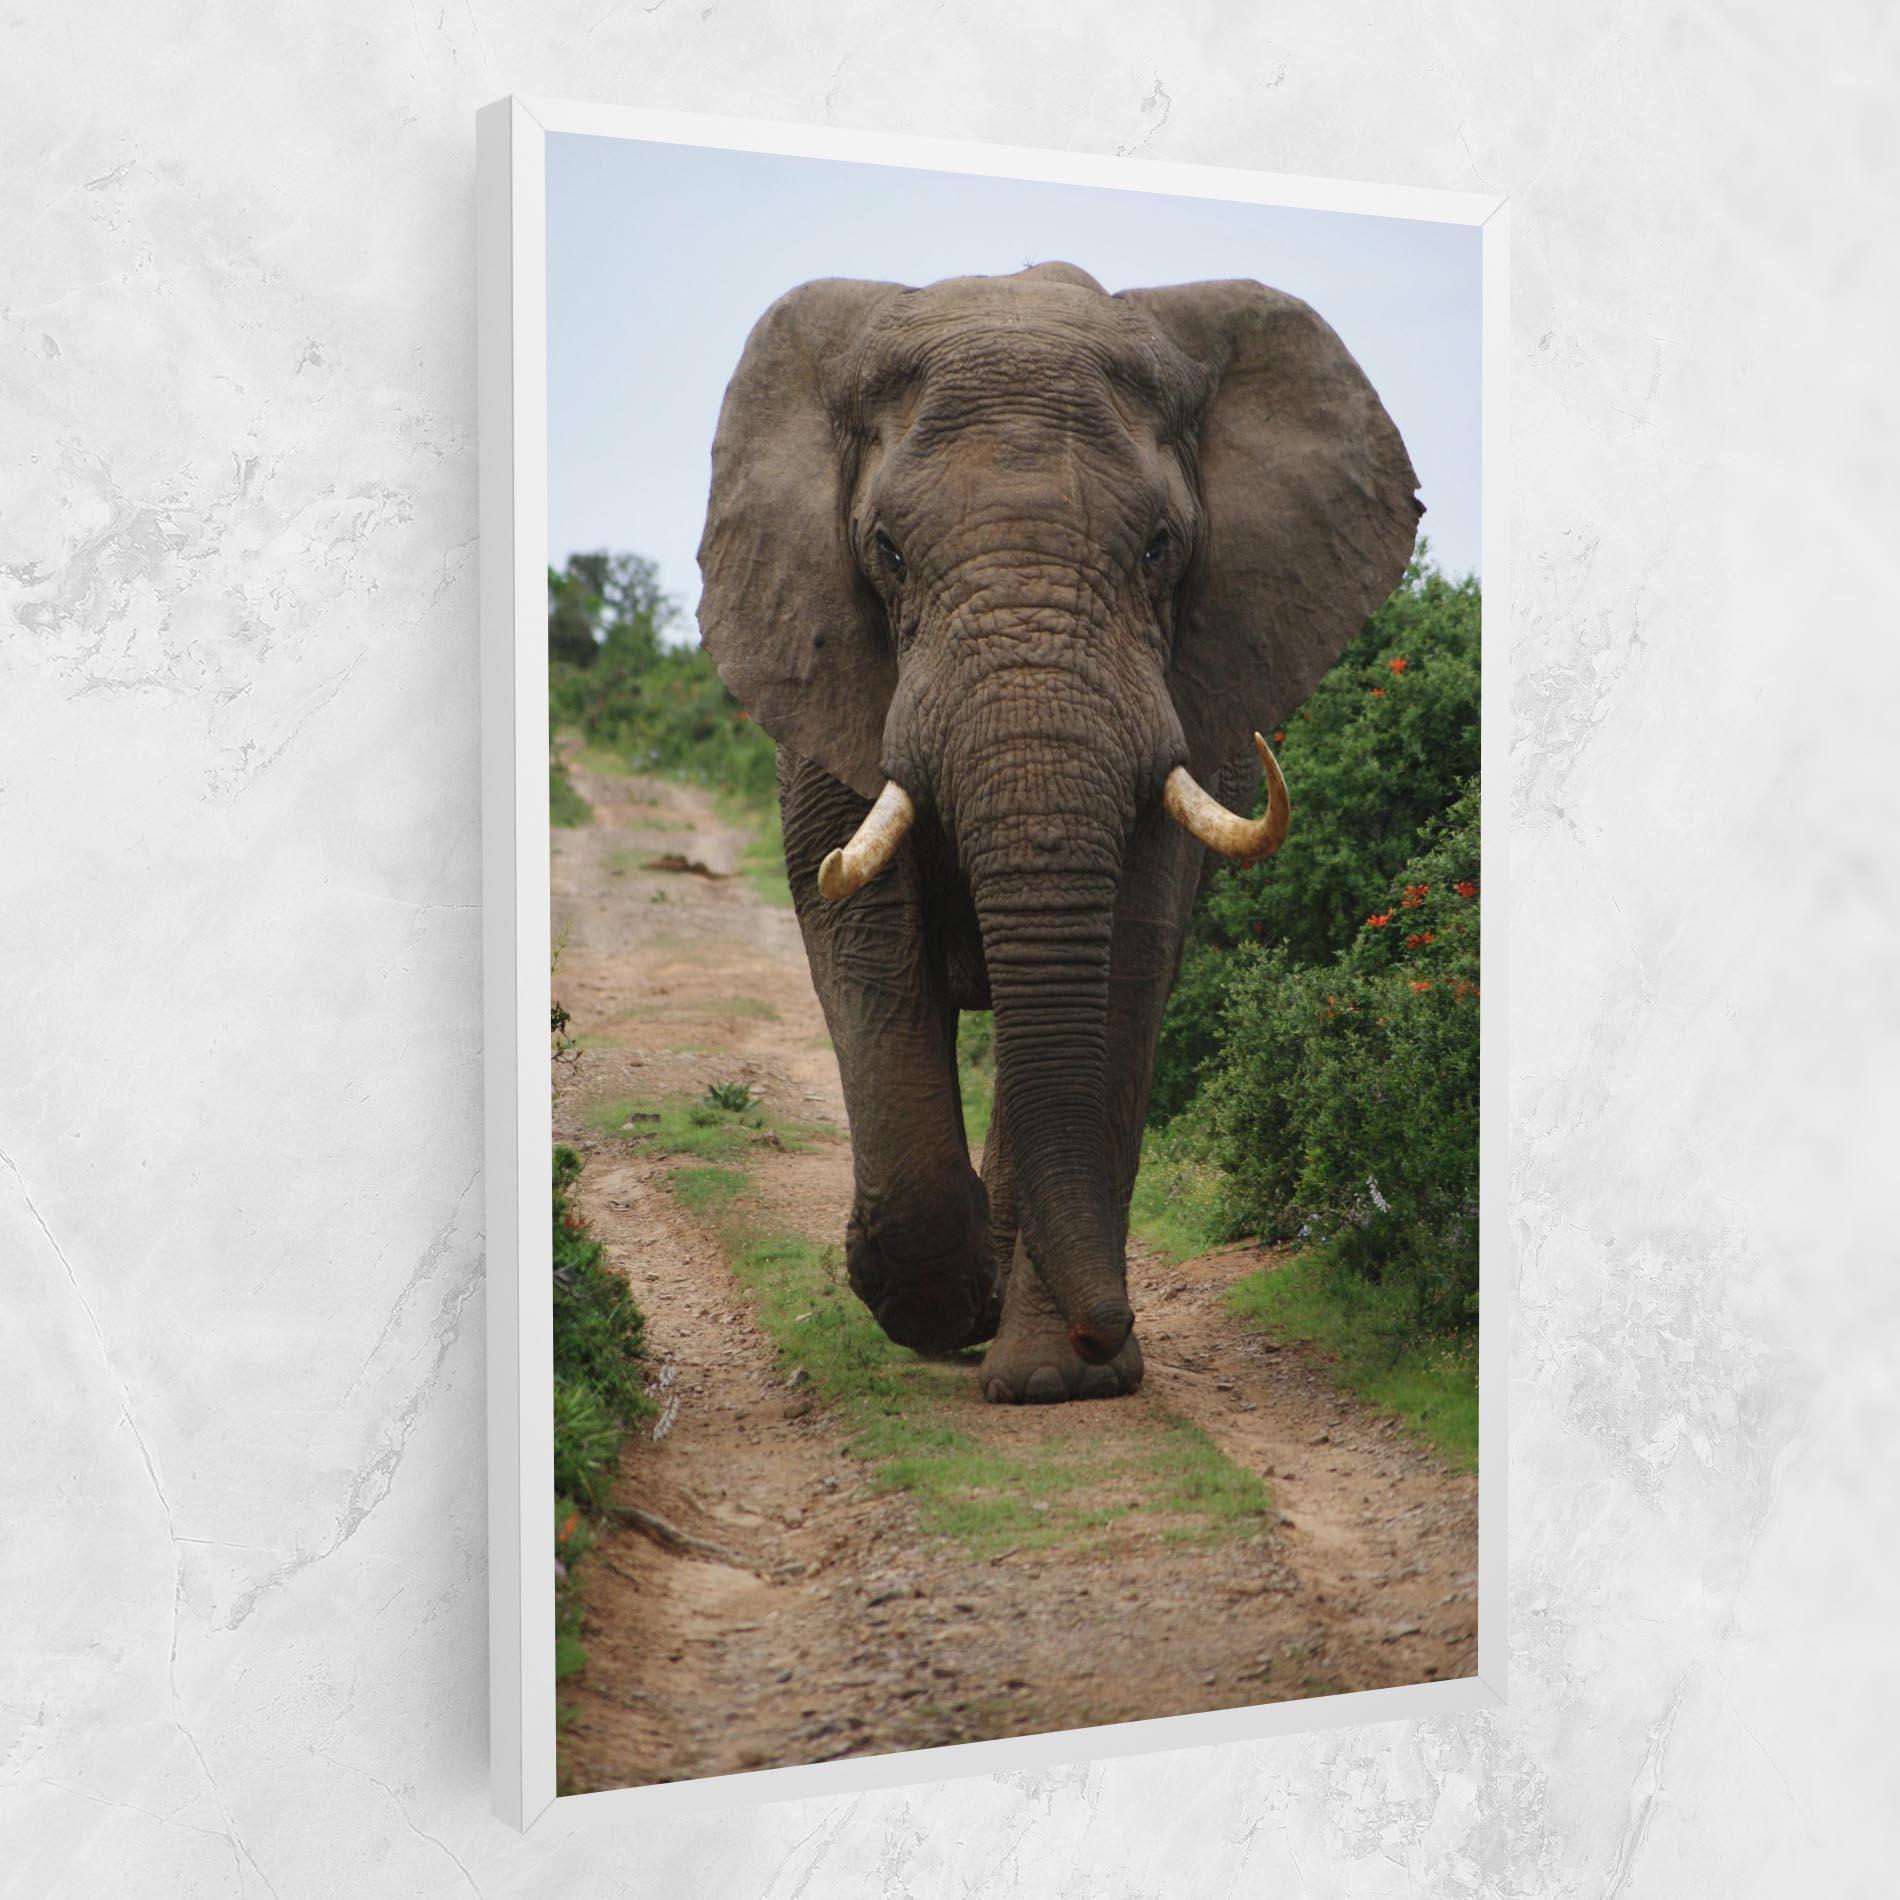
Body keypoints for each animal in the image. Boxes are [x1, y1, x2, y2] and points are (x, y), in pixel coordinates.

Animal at [697, 262, 1419, 1404]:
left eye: (1162, 548)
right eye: (885, 551)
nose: (1105, 1327)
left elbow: (1124, 959)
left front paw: (1054, 1380)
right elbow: (861, 940)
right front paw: (935, 1305)